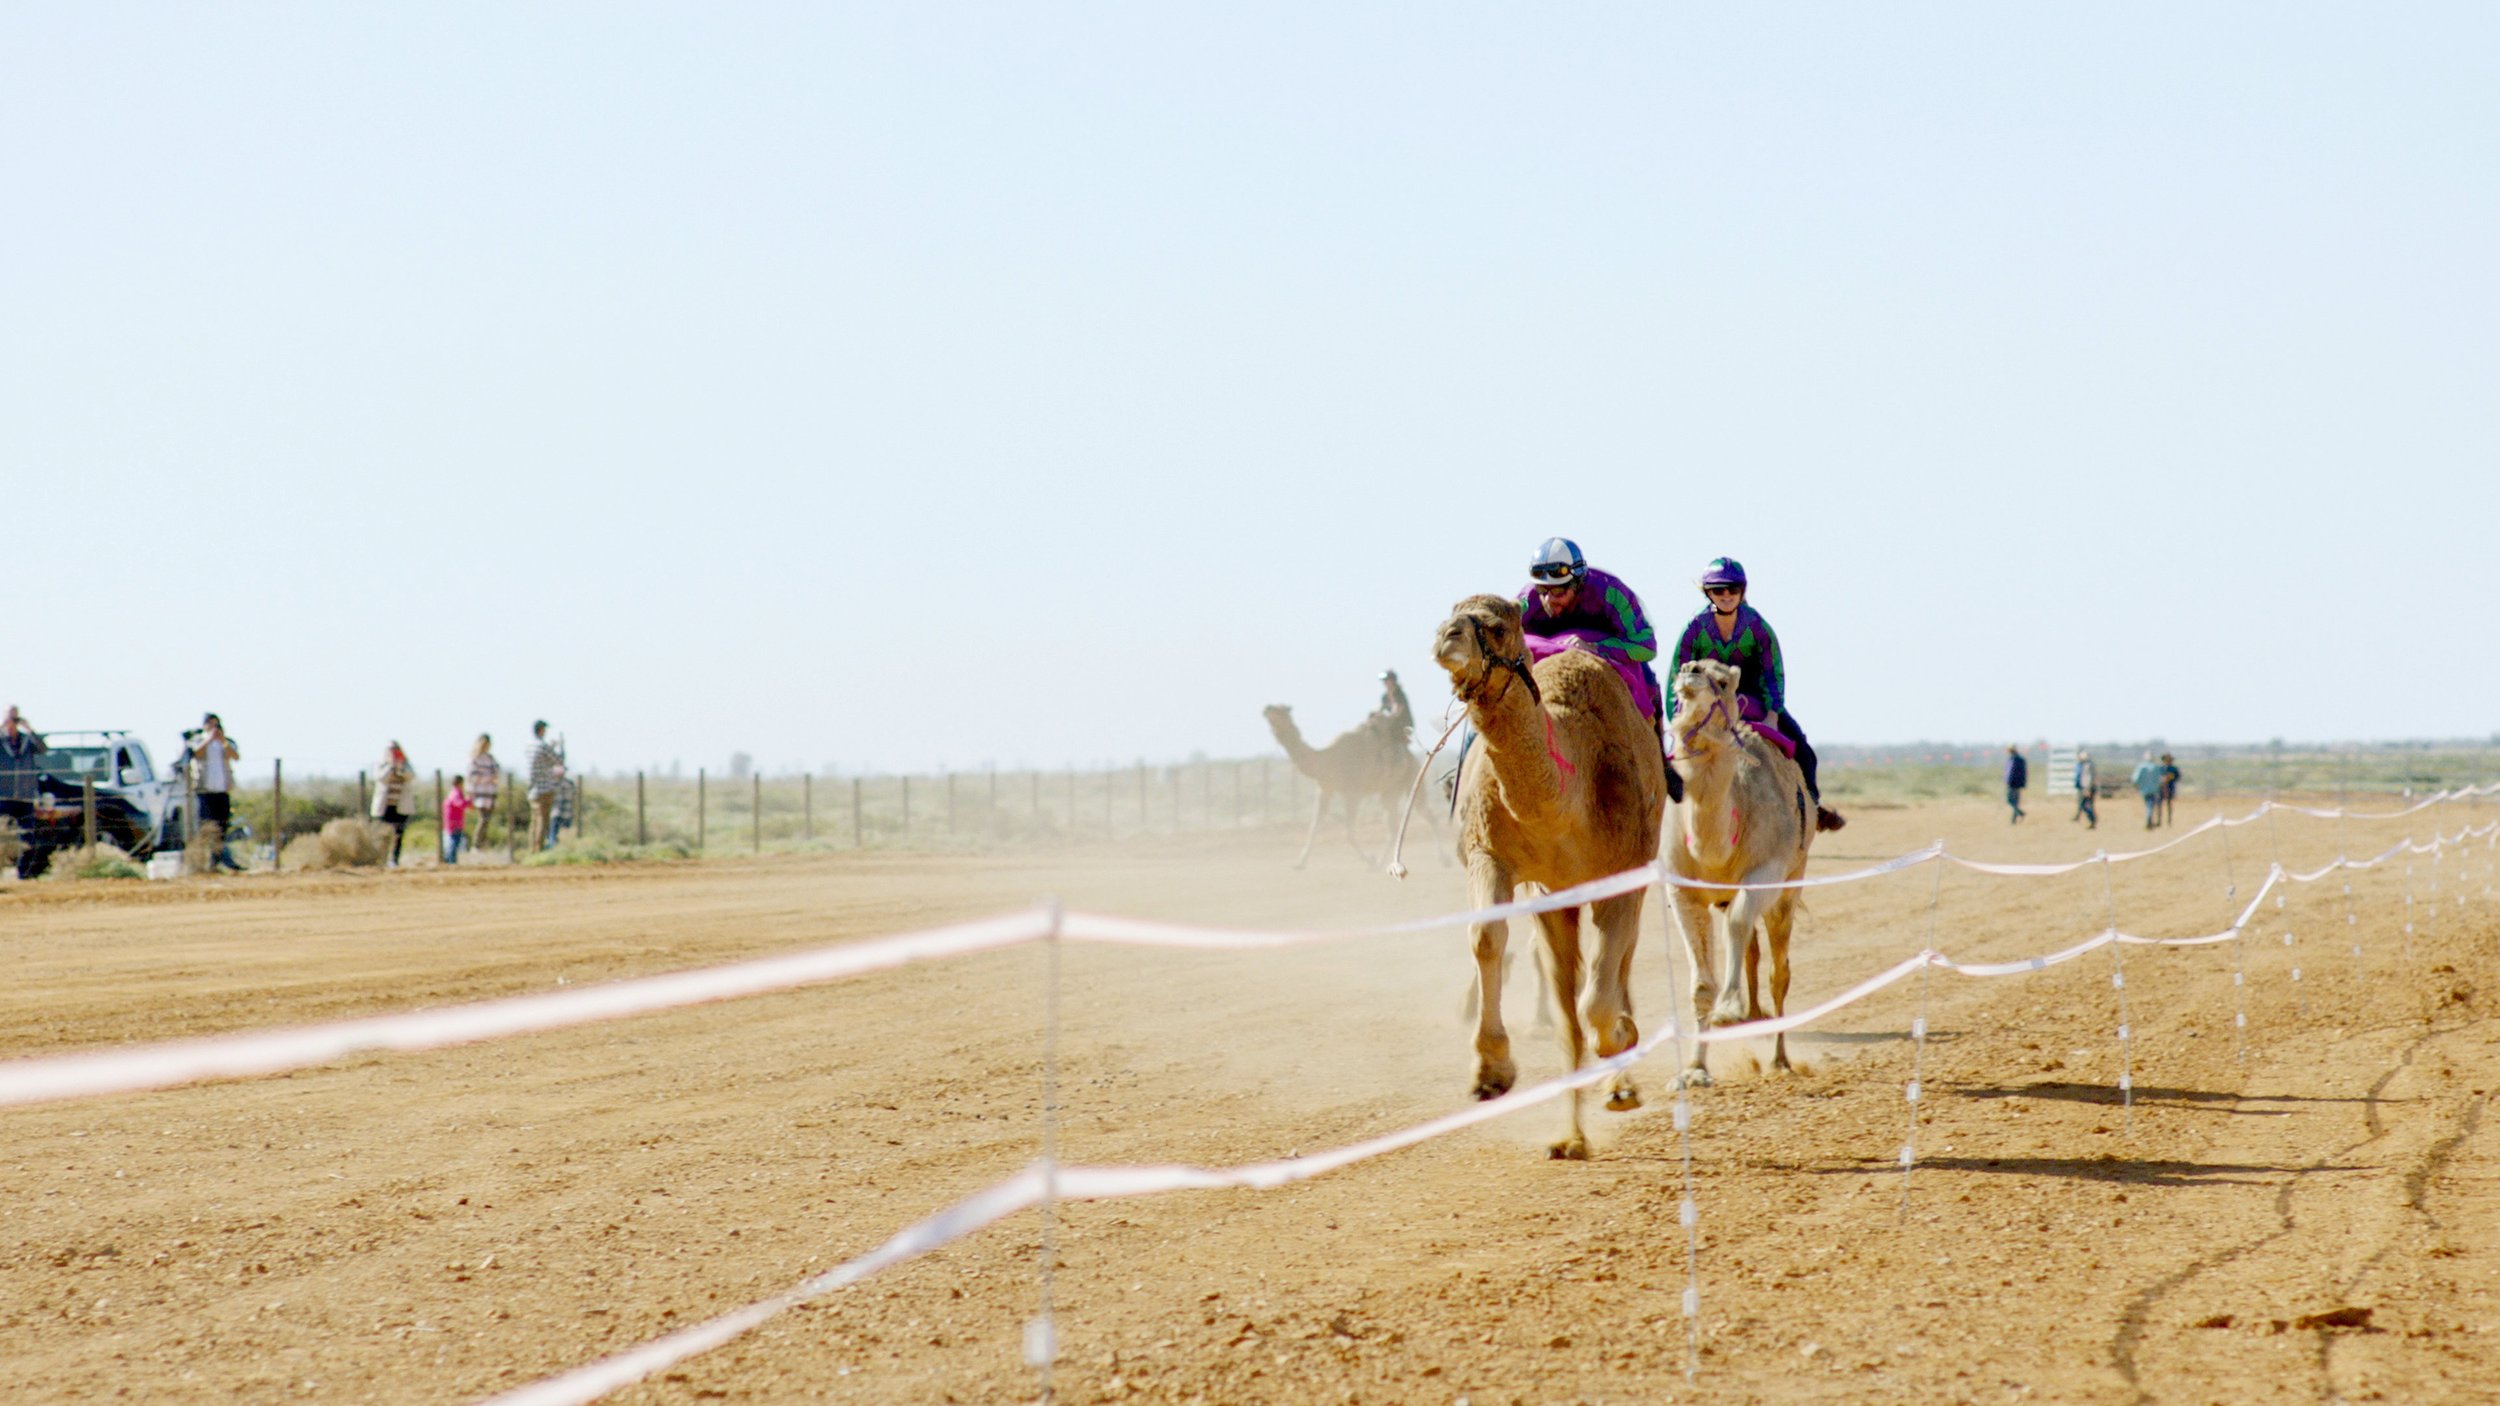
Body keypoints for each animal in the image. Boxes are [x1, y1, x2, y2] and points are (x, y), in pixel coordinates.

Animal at [1264, 699, 1416, 868]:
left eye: (1280, 710)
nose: (1266, 708)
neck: (1327, 759)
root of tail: (1410, 756)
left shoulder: (1353, 793)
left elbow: (1348, 833)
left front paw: (1369, 859)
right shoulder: (1324, 790)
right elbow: (1313, 828)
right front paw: (1300, 863)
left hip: (1402, 782)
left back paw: (1380, 863)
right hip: (1389, 789)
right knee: (1394, 826)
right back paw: (1384, 862)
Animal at [1433, 594, 1665, 1159]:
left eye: (1496, 626)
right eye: (1450, 614)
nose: (1447, 637)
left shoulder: (1620, 872)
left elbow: (1600, 996)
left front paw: (1623, 1038)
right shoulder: (1493, 855)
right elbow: (1486, 937)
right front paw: (1490, 1073)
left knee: (1615, 968)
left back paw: (1620, 1082)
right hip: (1554, 898)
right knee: (1565, 1000)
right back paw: (1570, 1137)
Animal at [1662, 659, 1816, 1086]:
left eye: (1724, 681)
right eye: (1681, 673)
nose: (1691, 671)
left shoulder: (1766, 871)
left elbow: (1736, 924)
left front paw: (1729, 1009)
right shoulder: (1682, 890)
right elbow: (1701, 983)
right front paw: (1694, 1070)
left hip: (1790, 883)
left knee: (1779, 971)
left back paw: (1780, 1058)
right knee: (1752, 947)